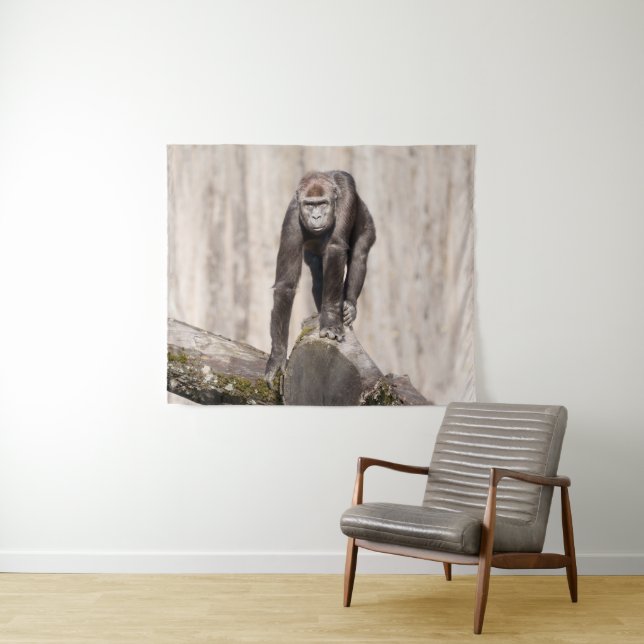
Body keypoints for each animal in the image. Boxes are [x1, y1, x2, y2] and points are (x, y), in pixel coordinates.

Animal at [264, 170, 376, 384]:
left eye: (322, 203)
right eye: (309, 205)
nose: (316, 216)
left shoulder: (347, 192)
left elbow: (335, 248)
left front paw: (331, 320)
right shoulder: (292, 217)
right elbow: (286, 285)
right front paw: (277, 355)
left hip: (368, 223)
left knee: (359, 255)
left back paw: (348, 306)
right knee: (317, 271)